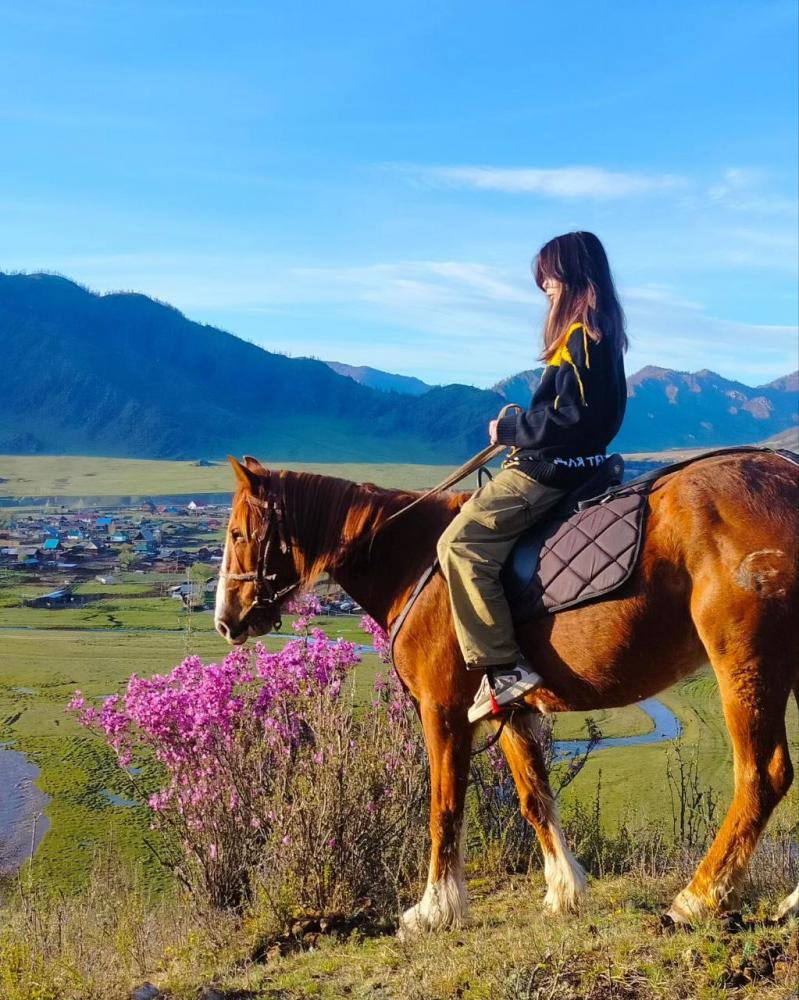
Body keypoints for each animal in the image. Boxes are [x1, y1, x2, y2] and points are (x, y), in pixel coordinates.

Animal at [214, 450, 799, 934]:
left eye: (240, 534)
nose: (224, 620)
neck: (412, 561)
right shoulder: (510, 712)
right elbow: (534, 800)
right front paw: (564, 892)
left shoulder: (443, 711)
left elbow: (444, 807)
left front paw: (435, 908)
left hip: (744, 663)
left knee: (762, 775)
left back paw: (696, 899)